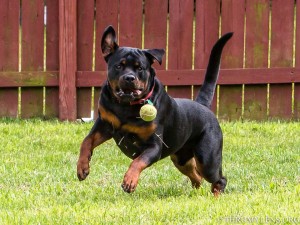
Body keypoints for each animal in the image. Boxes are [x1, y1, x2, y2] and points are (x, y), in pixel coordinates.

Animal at [77, 25, 232, 195]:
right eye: (118, 66)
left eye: (140, 68)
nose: (129, 77)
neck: (126, 106)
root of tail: (202, 105)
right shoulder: (104, 124)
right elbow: (86, 141)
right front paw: (82, 167)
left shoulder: (154, 146)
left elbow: (138, 161)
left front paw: (130, 180)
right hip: (181, 159)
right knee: (197, 177)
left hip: (207, 159)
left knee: (219, 179)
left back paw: (216, 195)